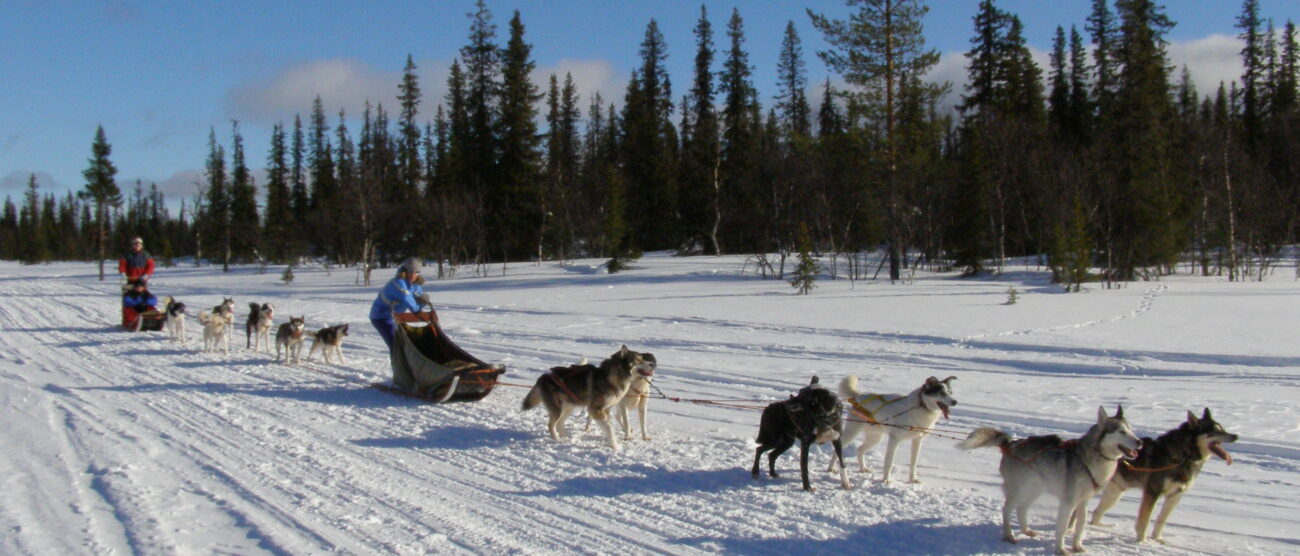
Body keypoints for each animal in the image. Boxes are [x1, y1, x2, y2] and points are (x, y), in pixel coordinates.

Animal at [520, 342, 655, 452]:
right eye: (638, 359)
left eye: (643, 358)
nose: (652, 364)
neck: (610, 378)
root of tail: (544, 377)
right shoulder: (595, 409)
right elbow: (609, 428)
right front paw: (615, 446)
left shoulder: (606, 410)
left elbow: (609, 426)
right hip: (558, 409)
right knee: (551, 425)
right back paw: (557, 439)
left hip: (568, 407)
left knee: (560, 423)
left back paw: (566, 438)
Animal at [826, 376, 961, 483]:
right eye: (941, 393)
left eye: (950, 392)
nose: (955, 401)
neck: (921, 406)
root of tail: (859, 396)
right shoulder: (894, 439)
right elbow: (889, 462)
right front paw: (886, 480)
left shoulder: (917, 440)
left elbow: (913, 462)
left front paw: (912, 478)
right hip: (852, 432)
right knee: (837, 449)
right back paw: (831, 468)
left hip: (875, 438)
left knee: (860, 450)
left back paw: (863, 468)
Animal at [961, 405, 1144, 553]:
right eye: (1121, 431)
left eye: (1131, 430)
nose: (1140, 442)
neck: (1089, 458)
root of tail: (1010, 443)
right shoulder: (1068, 503)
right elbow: (1062, 529)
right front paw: (1061, 550)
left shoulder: (1083, 502)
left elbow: (1080, 526)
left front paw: (1077, 546)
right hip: (1019, 491)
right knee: (1006, 510)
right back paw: (1009, 535)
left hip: (1034, 490)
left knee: (1021, 509)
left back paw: (1026, 530)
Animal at [1086, 407, 1237, 543]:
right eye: (1214, 430)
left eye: (1222, 428)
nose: (1236, 436)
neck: (1182, 457)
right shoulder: (1152, 493)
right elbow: (1145, 520)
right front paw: (1142, 541)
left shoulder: (1175, 496)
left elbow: (1161, 520)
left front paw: (1157, 539)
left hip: (1114, 493)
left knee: (1096, 512)